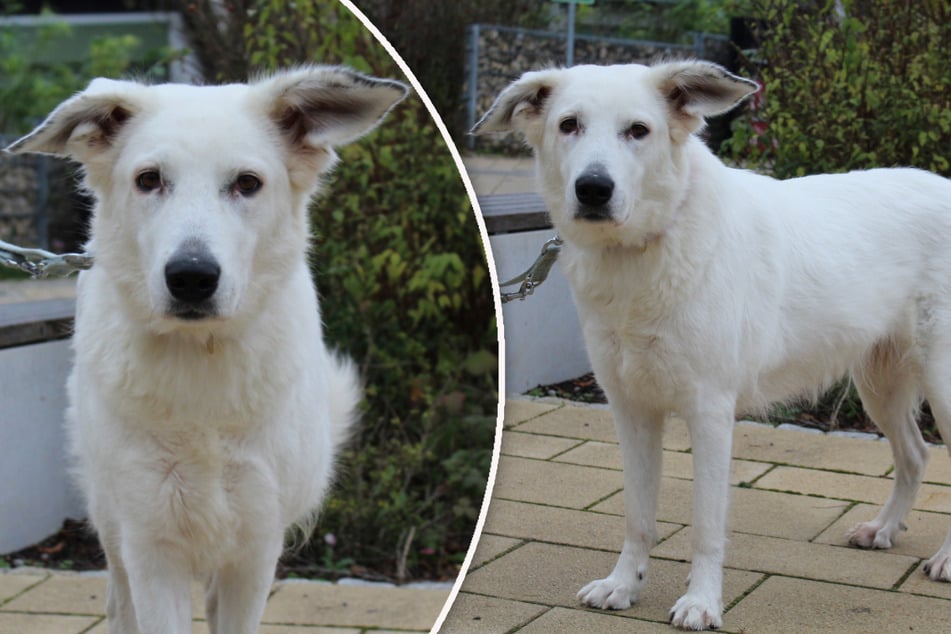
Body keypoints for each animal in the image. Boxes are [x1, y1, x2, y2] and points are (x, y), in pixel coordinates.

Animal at [8, 68, 410, 632]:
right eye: (149, 179)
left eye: (247, 183)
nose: (191, 278)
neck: (202, 359)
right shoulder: (151, 547)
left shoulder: (254, 549)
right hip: (112, 521)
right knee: (118, 599)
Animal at [480, 59, 951, 628]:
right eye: (569, 124)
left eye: (638, 130)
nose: (593, 188)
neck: (646, 247)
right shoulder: (630, 408)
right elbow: (638, 515)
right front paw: (624, 584)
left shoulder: (709, 412)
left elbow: (706, 526)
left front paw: (701, 602)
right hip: (879, 384)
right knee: (916, 455)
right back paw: (883, 529)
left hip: (941, 383)